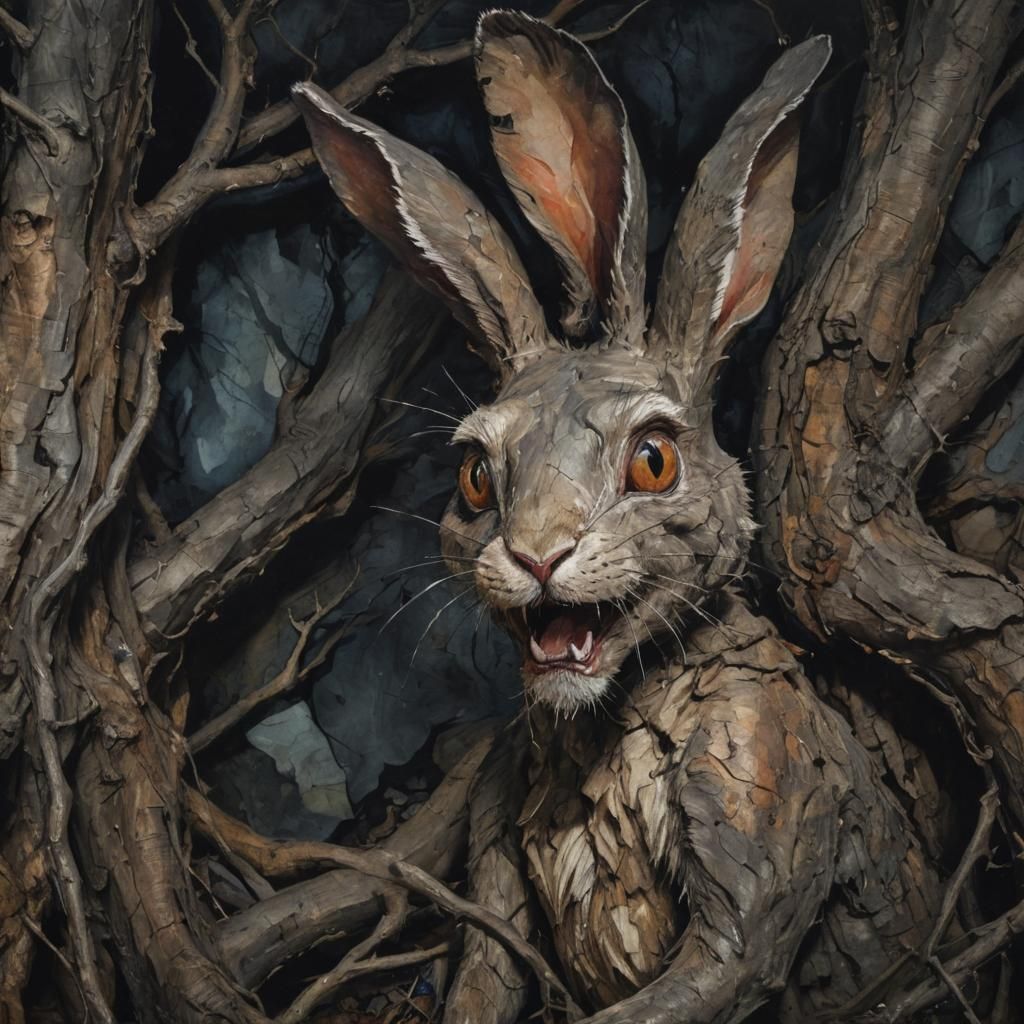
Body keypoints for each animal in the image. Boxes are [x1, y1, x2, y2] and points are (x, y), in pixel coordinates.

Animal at [293, 11, 945, 1023]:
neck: (596, 725)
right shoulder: (495, 897)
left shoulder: (754, 822)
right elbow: (481, 980)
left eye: (654, 461)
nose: (537, 556)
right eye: (474, 477)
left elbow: (708, 973)